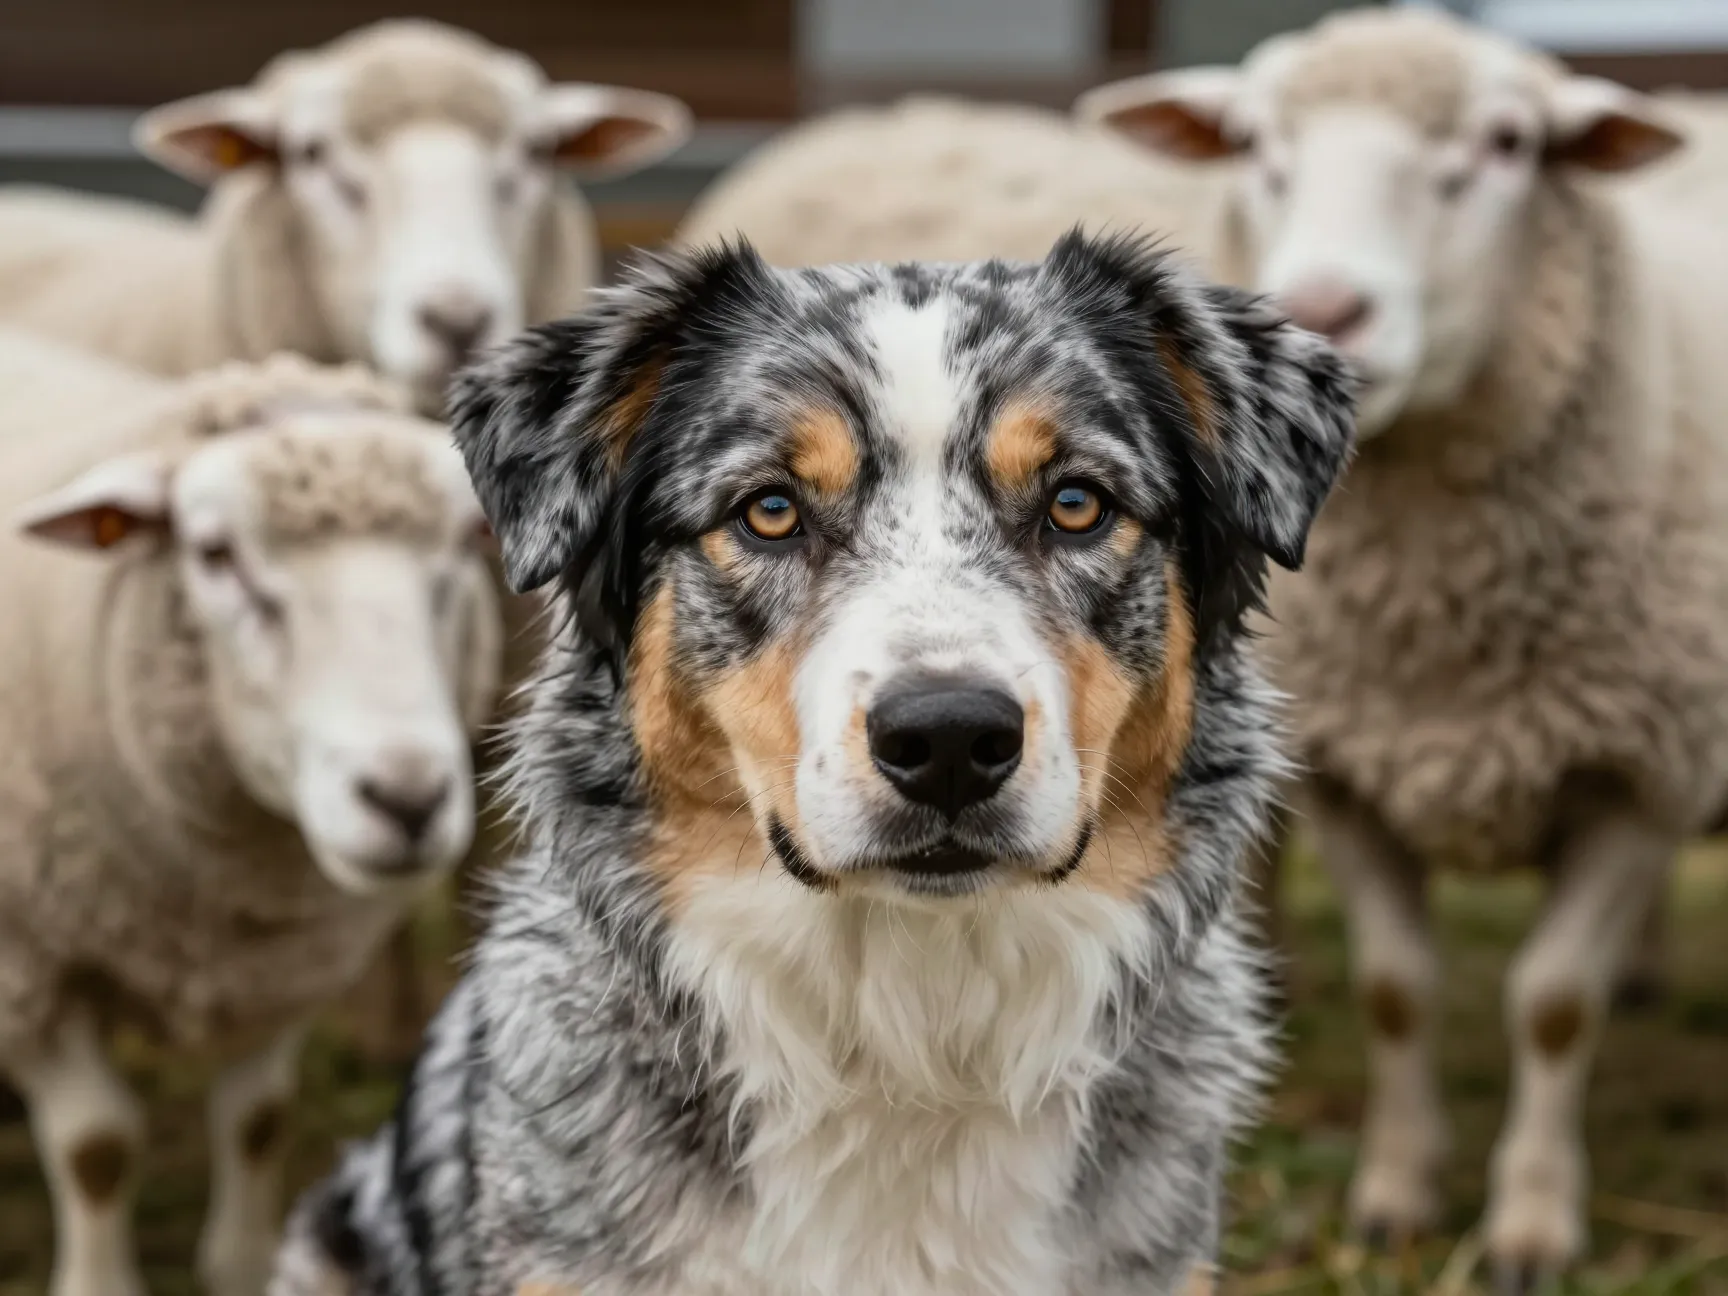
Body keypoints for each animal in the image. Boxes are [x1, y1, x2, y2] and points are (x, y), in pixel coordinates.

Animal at [0, 334, 506, 1296]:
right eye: (212, 553)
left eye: (466, 544)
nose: (406, 798)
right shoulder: (29, 963)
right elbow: (97, 1147)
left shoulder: (291, 956)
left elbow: (258, 1117)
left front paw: (238, 1261)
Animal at [1076, 9, 1728, 1285]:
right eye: (1254, 144)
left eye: (1510, 143)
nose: (1325, 310)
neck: (1445, 636)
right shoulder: (1350, 774)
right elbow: (1396, 991)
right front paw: (1395, 1194)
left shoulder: (1645, 776)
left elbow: (1552, 1003)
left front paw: (1531, 1222)